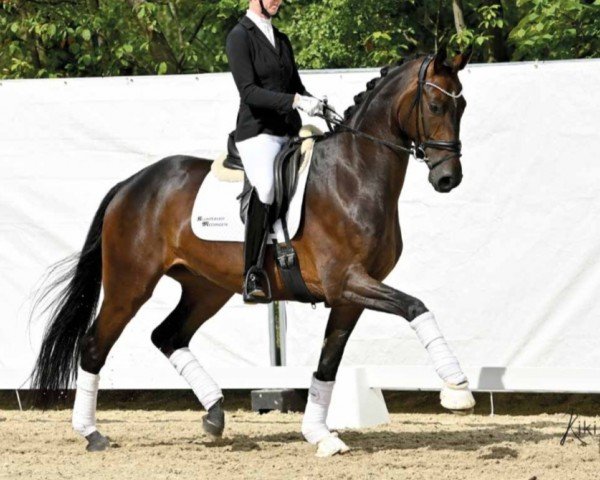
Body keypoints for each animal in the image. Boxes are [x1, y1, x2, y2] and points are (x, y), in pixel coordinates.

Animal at [32, 48, 476, 458]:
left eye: (463, 106)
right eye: (435, 106)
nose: (448, 178)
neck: (354, 172)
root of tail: (131, 184)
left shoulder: (350, 295)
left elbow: (328, 363)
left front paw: (321, 435)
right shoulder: (346, 281)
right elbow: (416, 307)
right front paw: (456, 388)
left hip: (206, 288)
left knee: (168, 335)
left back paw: (214, 415)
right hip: (130, 285)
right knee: (95, 345)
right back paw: (91, 433)